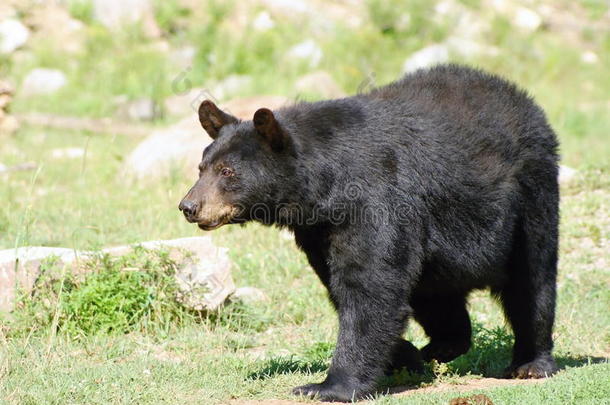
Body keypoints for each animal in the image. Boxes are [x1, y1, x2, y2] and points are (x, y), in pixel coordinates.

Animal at [176, 64, 556, 400]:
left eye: (227, 171)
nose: (189, 206)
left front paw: (327, 386)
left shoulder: (375, 198)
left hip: (530, 194)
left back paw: (530, 362)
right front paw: (403, 354)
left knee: (531, 279)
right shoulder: (318, 230)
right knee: (434, 293)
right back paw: (442, 345)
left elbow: (370, 284)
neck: (323, 187)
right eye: (202, 167)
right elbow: (345, 283)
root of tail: (521, 97)